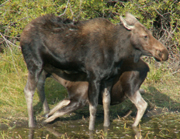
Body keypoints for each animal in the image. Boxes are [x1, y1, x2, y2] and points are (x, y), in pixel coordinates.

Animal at [20, 12, 168, 130]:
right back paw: (32, 123)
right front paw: (91, 129)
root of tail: (23, 33)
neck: (117, 52)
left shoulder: (108, 79)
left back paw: (45, 113)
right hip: (35, 64)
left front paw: (106, 127)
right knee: (28, 90)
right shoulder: (94, 77)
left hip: (44, 66)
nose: (164, 53)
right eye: (145, 36)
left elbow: (106, 103)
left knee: (40, 86)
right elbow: (93, 106)